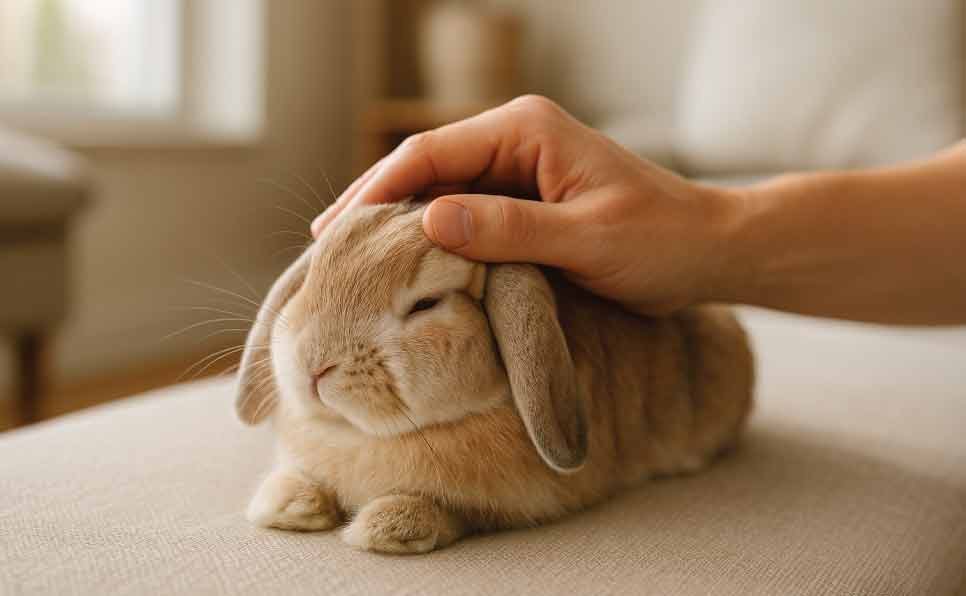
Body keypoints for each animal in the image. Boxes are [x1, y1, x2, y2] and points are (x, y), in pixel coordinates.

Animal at [236, 200, 754, 555]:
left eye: (427, 304)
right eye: (314, 275)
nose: (312, 363)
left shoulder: (502, 505)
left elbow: (454, 513)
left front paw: (383, 528)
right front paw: (287, 504)